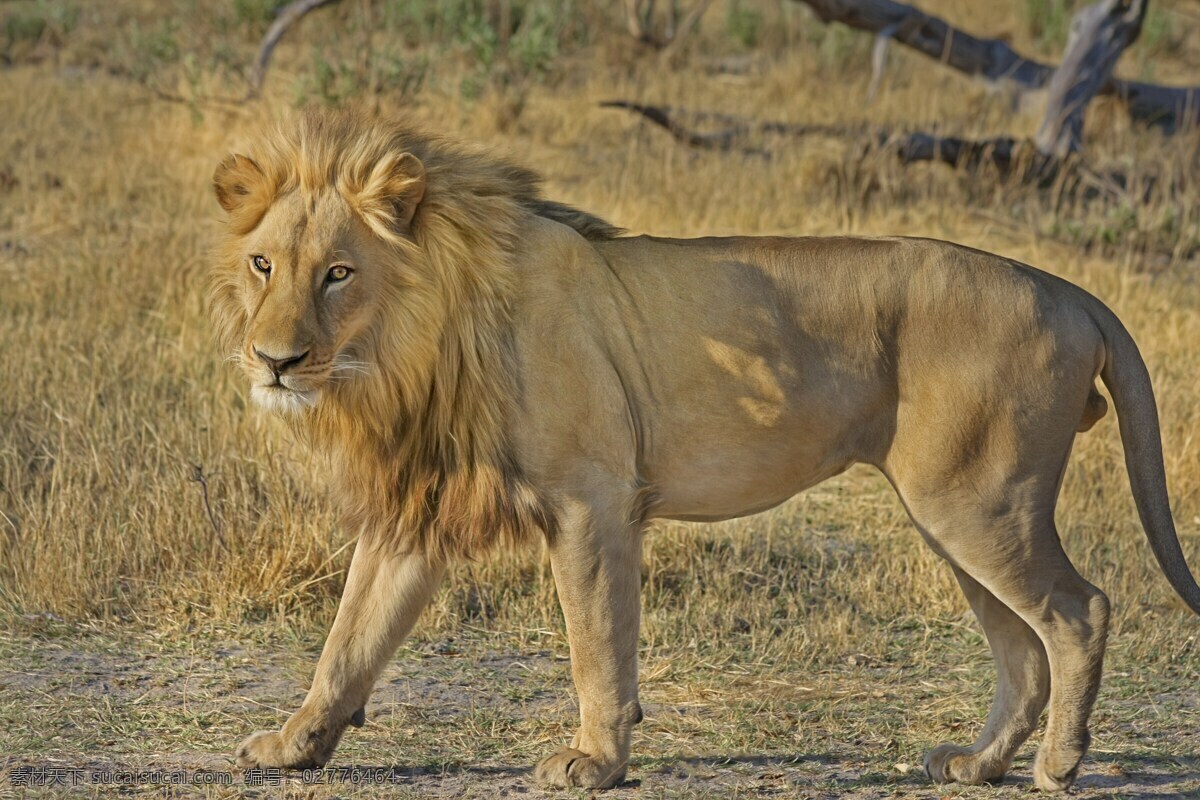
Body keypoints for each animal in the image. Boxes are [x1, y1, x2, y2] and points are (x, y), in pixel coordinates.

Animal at [211, 109, 1195, 791]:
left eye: (339, 272)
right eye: (264, 265)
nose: (274, 360)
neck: (409, 348)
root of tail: (1068, 288)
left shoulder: (592, 500)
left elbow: (597, 644)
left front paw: (594, 763)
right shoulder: (416, 510)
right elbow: (348, 641)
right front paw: (293, 747)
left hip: (977, 502)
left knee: (1079, 612)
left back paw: (1060, 767)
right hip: (954, 513)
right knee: (1022, 650)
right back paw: (979, 766)